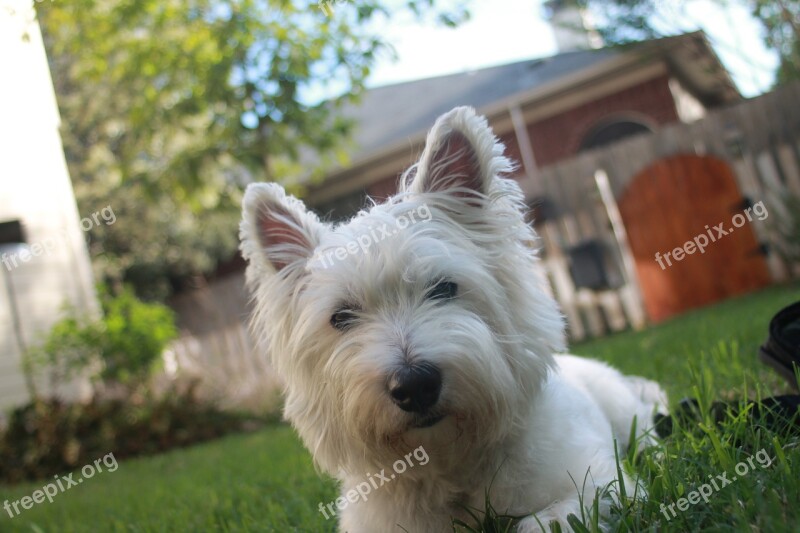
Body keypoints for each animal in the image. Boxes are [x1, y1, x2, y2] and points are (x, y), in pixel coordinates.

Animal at [241, 106, 664, 528]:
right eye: (341, 317)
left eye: (443, 288)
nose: (414, 385)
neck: (450, 465)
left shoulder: (600, 482)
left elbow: (546, 519)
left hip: (622, 409)